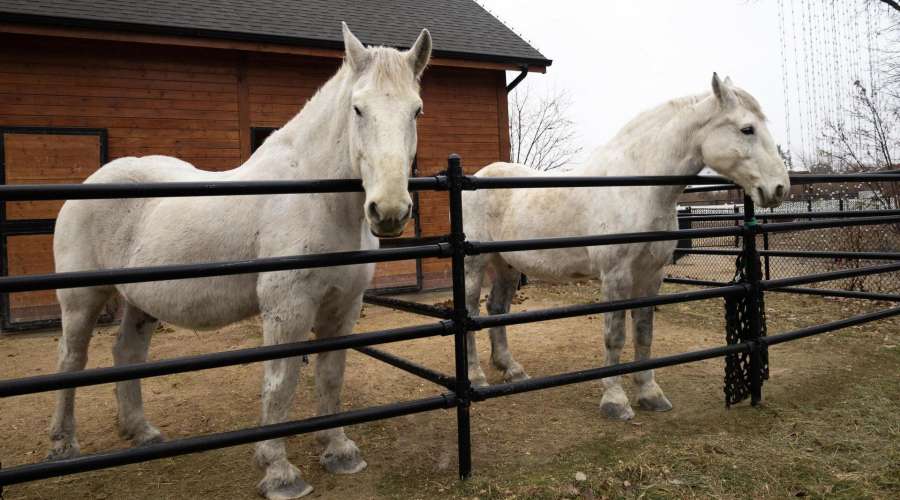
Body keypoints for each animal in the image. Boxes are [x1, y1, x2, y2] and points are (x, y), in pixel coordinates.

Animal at [48, 23, 431, 499]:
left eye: (416, 111)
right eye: (357, 109)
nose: (390, 211)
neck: (315, 197)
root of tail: (90, 184)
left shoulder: (342, 307)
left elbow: (331, 377)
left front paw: (339, 451)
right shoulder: (287, 310)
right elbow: (280, 384)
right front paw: (279, 471)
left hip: (139, 301)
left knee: (127, 353)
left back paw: (141, 432)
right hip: (80, 299)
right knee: (71, 361)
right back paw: (63, 445)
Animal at [462, 74, 789, 421]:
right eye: (747, 129)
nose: (779, 188)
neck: (638, 188)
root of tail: (478, 177)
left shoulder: (651, 274)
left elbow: (644, 332)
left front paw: (650, 393)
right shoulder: (615, 275)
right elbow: (615, 335)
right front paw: (615, 400)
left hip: (506, 265)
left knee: (496, 309)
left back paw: (511, 369)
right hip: (475, 265)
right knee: (471, 311)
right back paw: (476, 377)